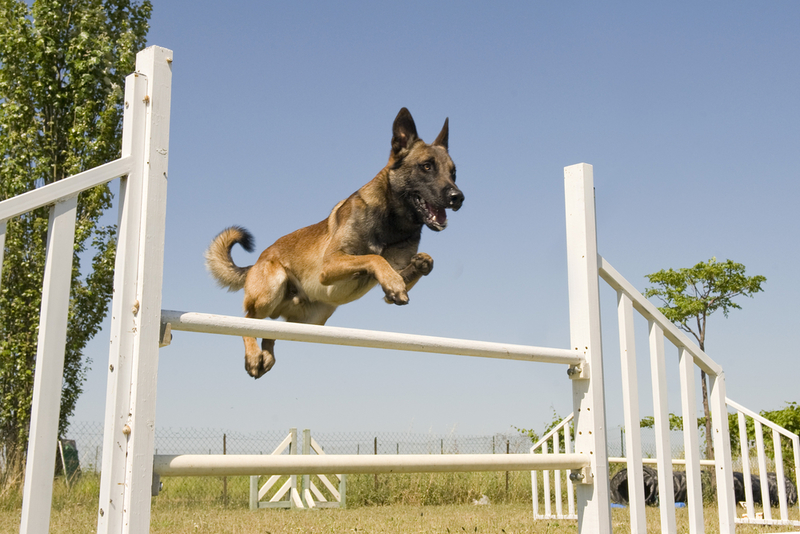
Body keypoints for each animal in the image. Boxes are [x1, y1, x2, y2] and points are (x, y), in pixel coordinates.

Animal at [205, 107, 462, 378]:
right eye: (426, 166)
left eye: (453, 173)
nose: (458, 197)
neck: (392, 222)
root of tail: (255, 263)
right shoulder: (329, 266)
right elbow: (374, 257)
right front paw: (391, 281)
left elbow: (416, 263)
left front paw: (416, 266)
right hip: (273, 286)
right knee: (247, 320)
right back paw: (254, 356)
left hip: (311, 321)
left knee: (271, 331)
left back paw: (267, 356)